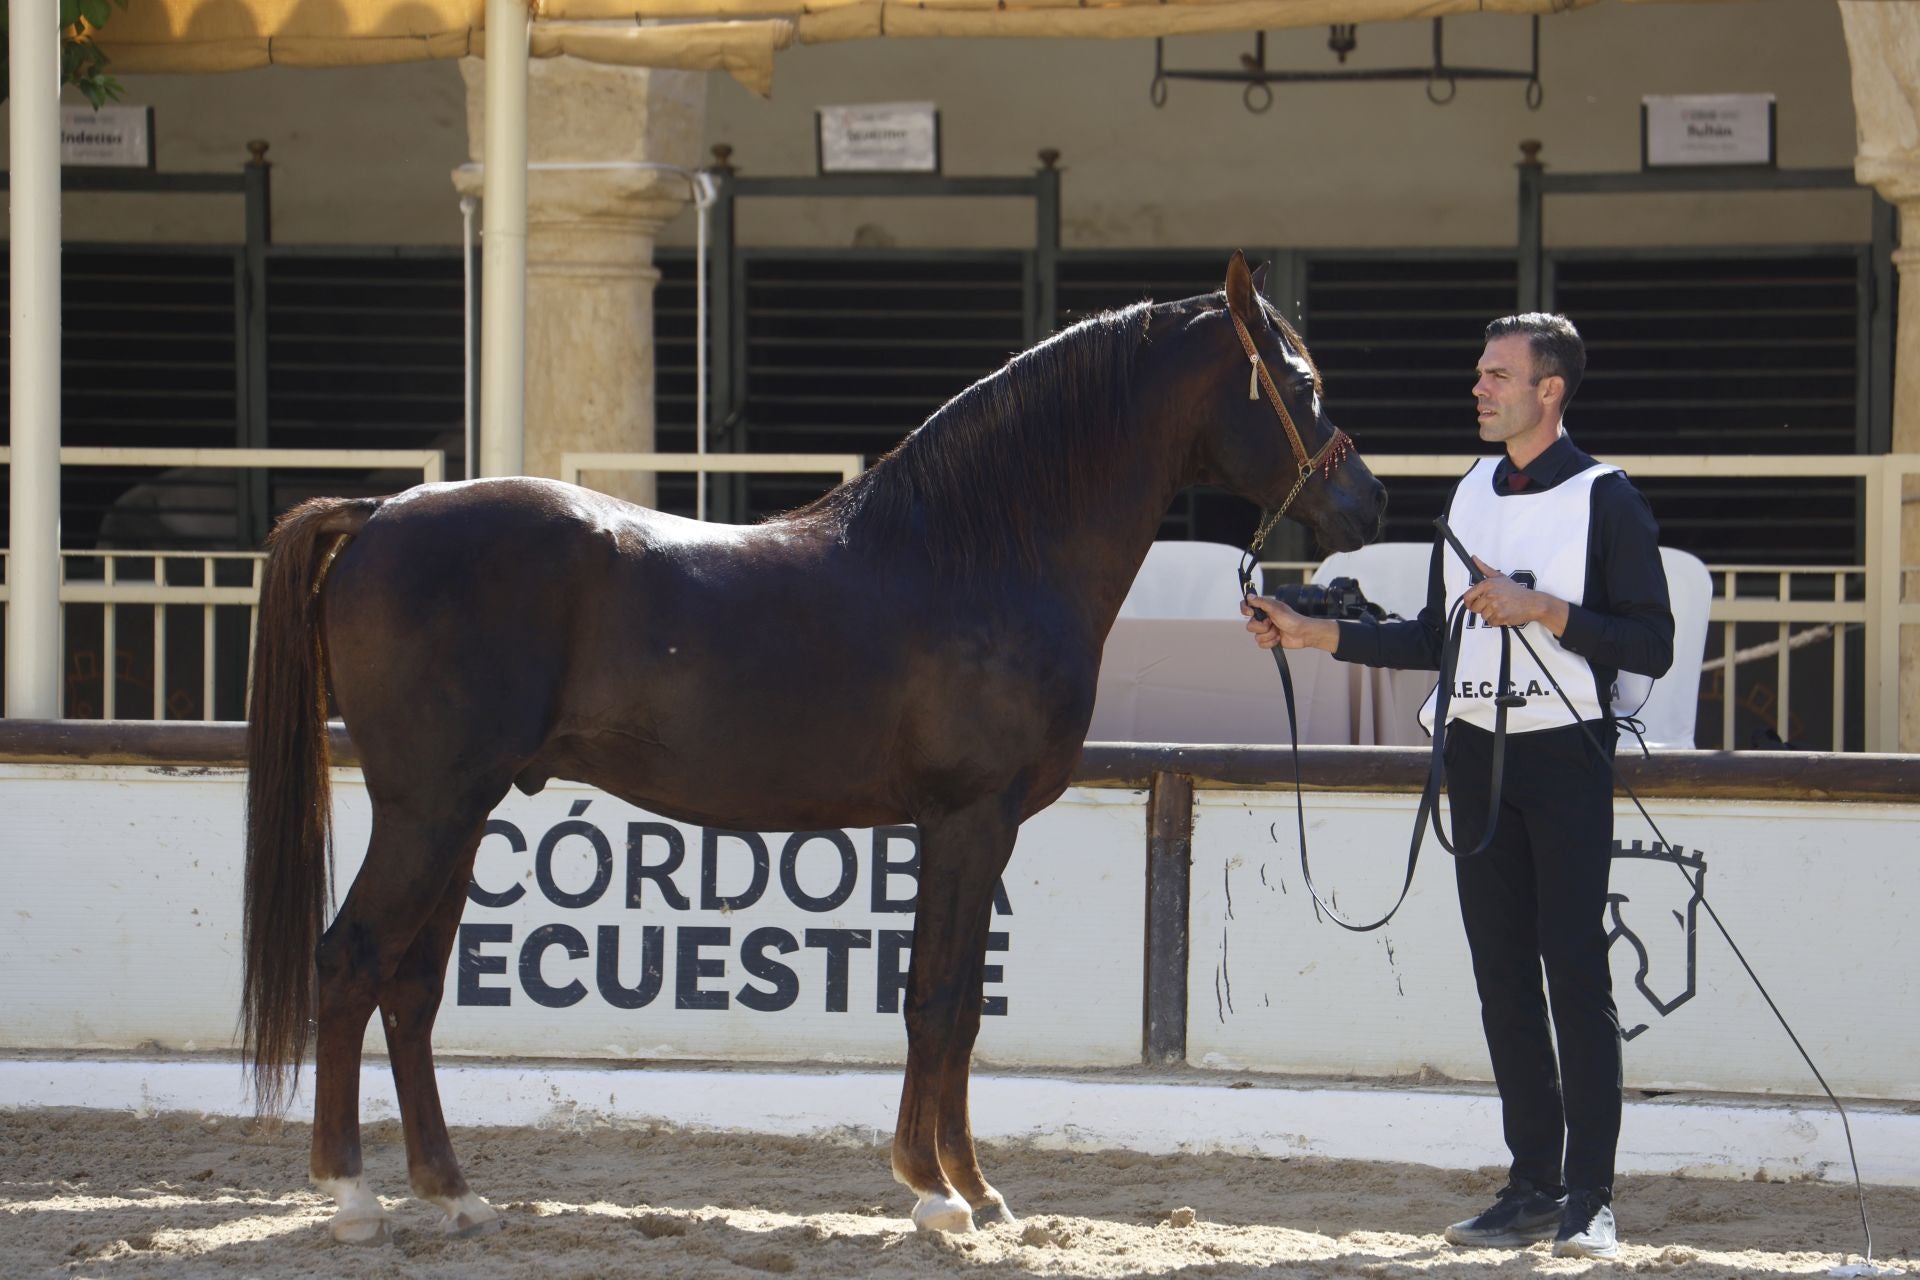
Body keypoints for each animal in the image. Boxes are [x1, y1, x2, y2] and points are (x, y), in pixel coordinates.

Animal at [241, 251, 1386, 1243]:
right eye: (1299, 381)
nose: (1370, 501)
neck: (979, 553)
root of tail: (380, 509)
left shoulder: (982, 831)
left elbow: (959, 1005)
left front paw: (973, 1186)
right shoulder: (966, 820)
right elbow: (936, 1001)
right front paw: (937, 1192)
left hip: (463, 813)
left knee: (410, 987)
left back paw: (452, 1193)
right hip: (429, 810)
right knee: (351, 960)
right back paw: (351, 1195)